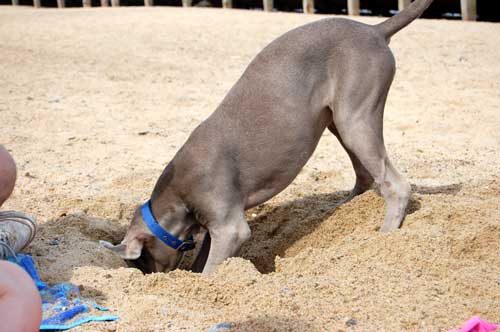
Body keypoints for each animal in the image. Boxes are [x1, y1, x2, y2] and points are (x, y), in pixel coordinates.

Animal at [102, 0, 438, 274]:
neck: (178, 194)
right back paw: (339, 211)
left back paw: (385, 234)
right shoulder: (216, 225)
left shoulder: (230, 226)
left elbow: (211, 268)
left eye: (140, 260)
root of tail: (374, 30)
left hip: (356, 115)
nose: (150, 277)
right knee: (365, 176)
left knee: (395, 184)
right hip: (339, 122)